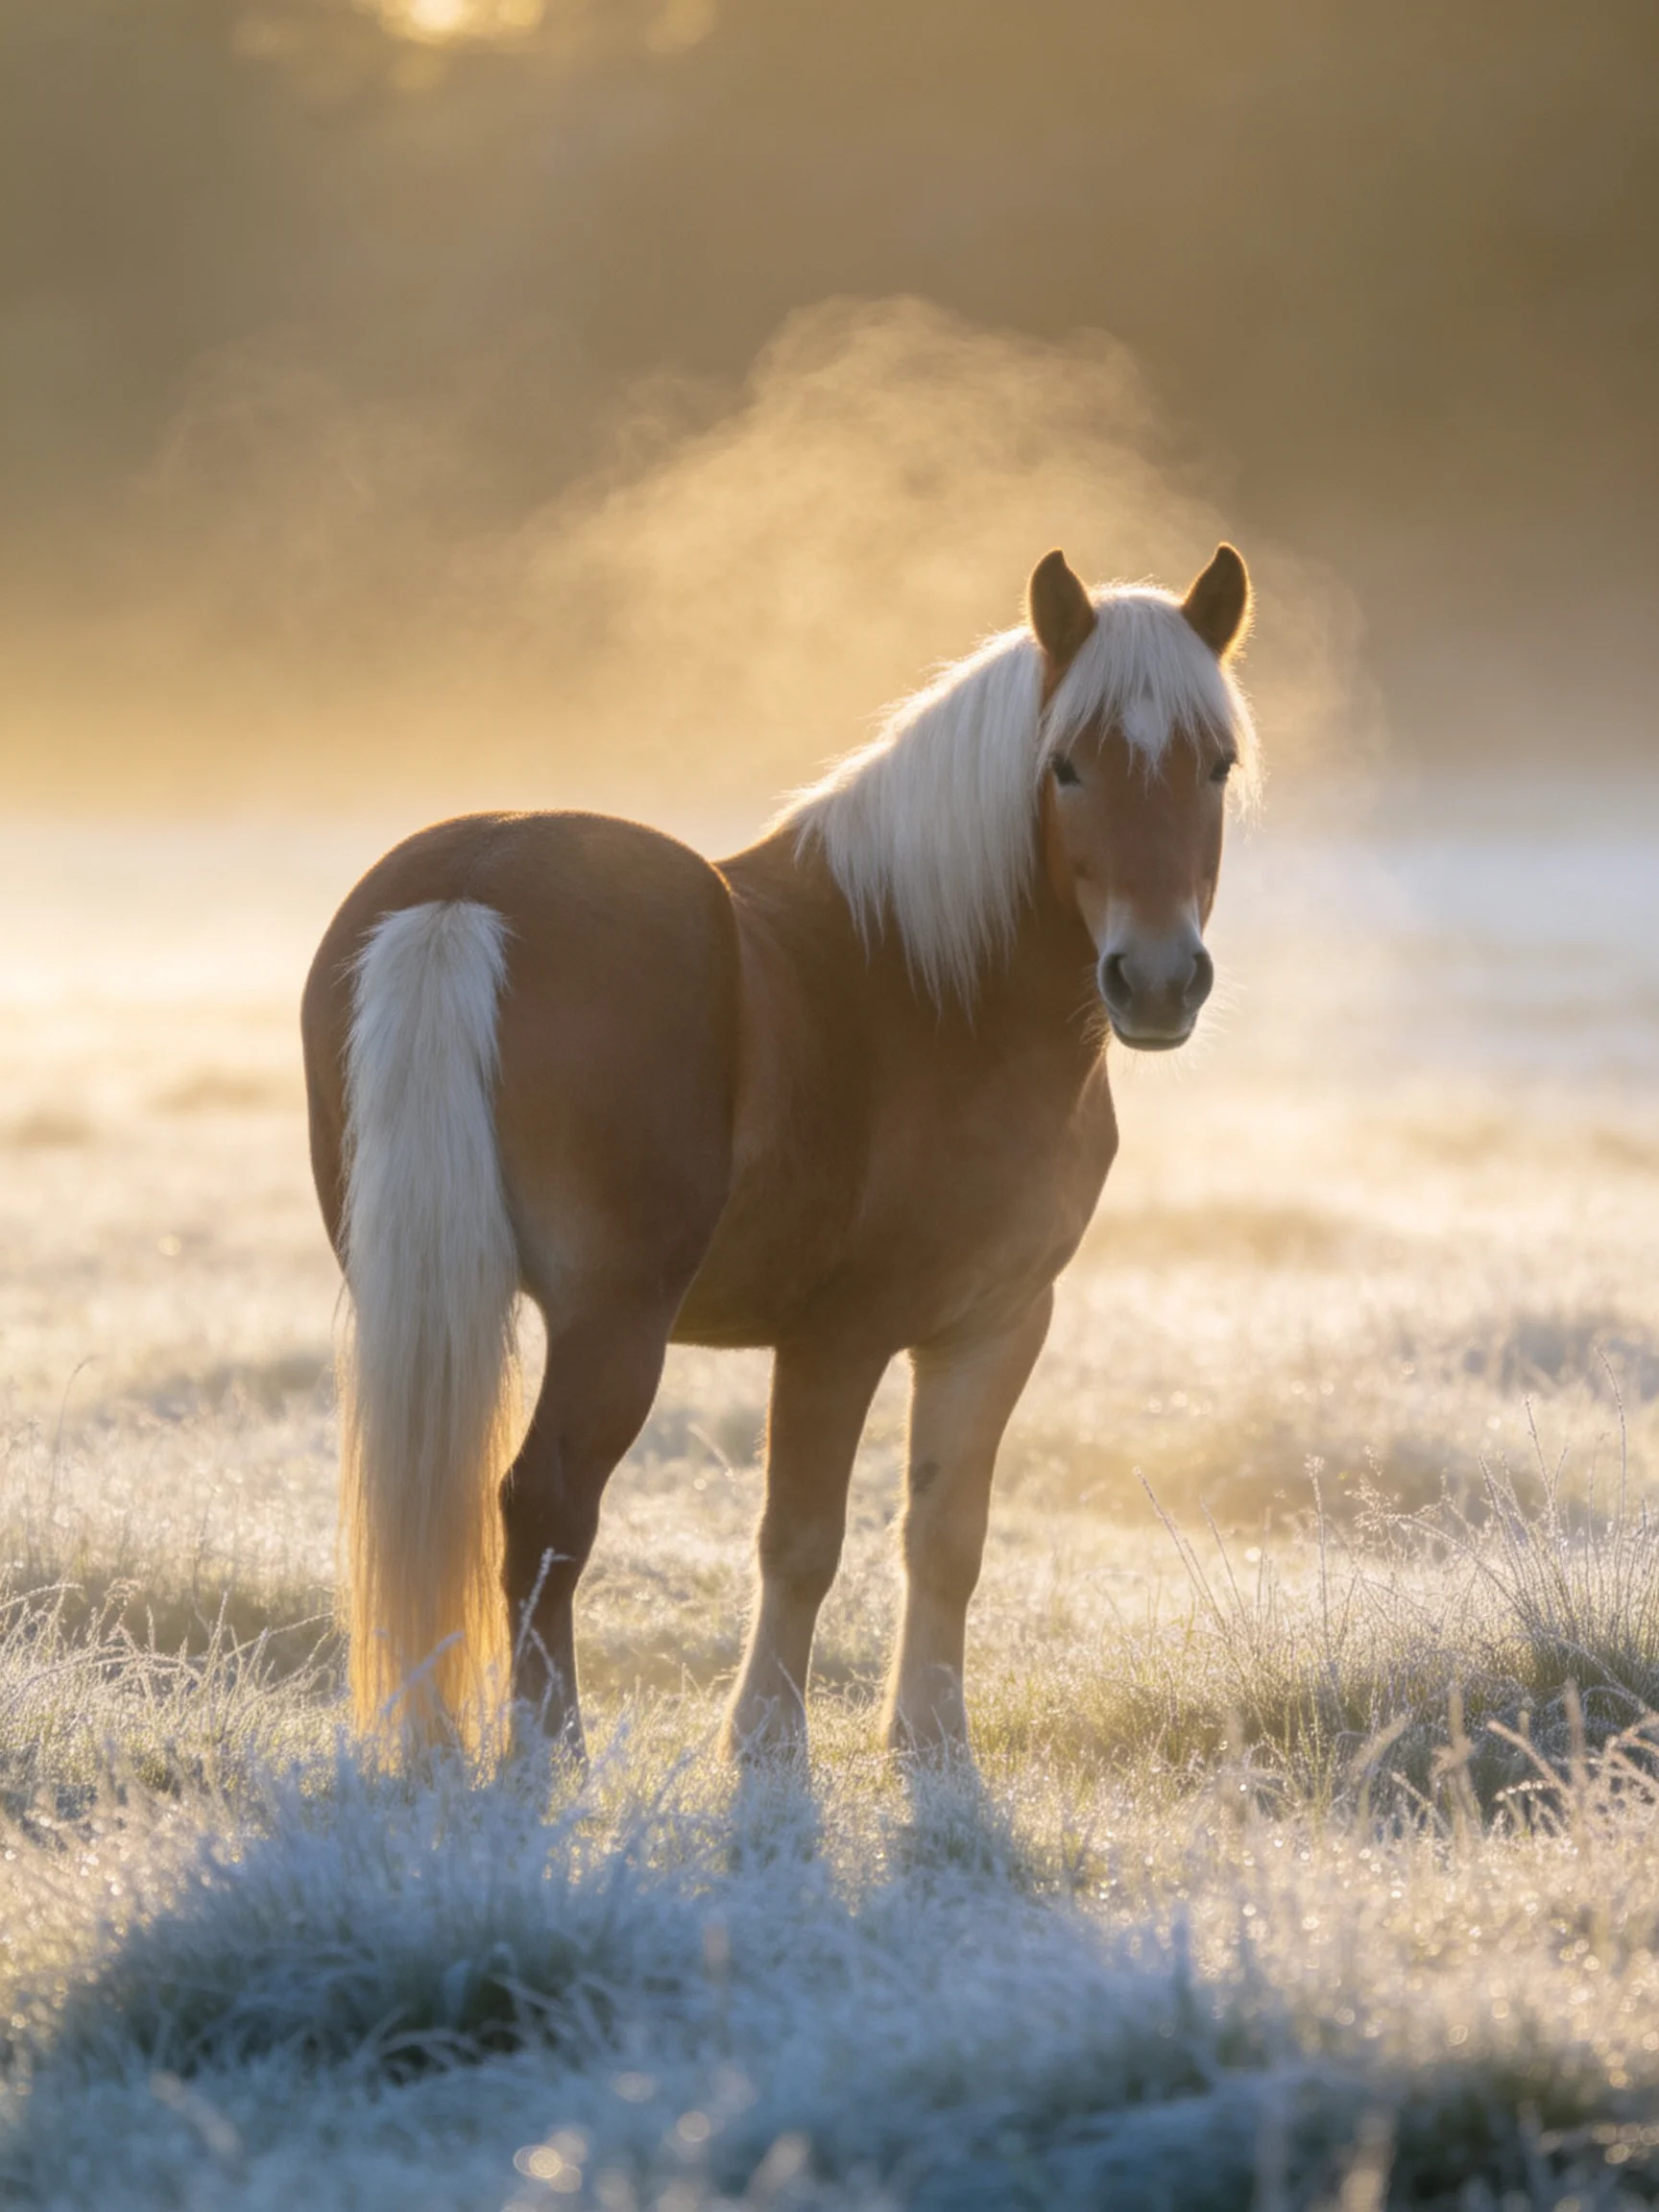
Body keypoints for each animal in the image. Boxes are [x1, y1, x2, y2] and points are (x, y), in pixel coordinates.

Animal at [301, 543, 1256, 1760]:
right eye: (1069, 768)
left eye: (1217, 766)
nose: (1159, 981)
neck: (933, 985)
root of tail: (471, 883)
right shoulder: (863, 1336)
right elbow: (806, 1541)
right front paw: (766, 1742)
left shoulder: (981, 1327)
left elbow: (945, 1532)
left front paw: (929, 1739)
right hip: (613, 1319)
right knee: (544, 1503)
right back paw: (551, 1747)